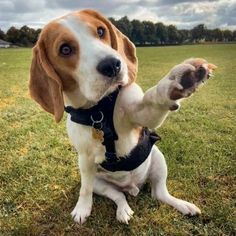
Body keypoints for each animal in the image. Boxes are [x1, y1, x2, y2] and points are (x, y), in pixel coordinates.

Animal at [28, 9, 217, 225]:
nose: (113, 65)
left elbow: (155, 97)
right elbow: (85, 189)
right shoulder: (84, 160)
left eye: (101, 31)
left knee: (159, 194)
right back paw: (123, 210)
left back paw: (183, 205)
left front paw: (177, 81)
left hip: (158, 157)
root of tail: (132, 186)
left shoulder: (143, 112)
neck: (99, 110)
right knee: (119, 196)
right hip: (100, 183)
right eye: (65, 49)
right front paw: (82, 208)